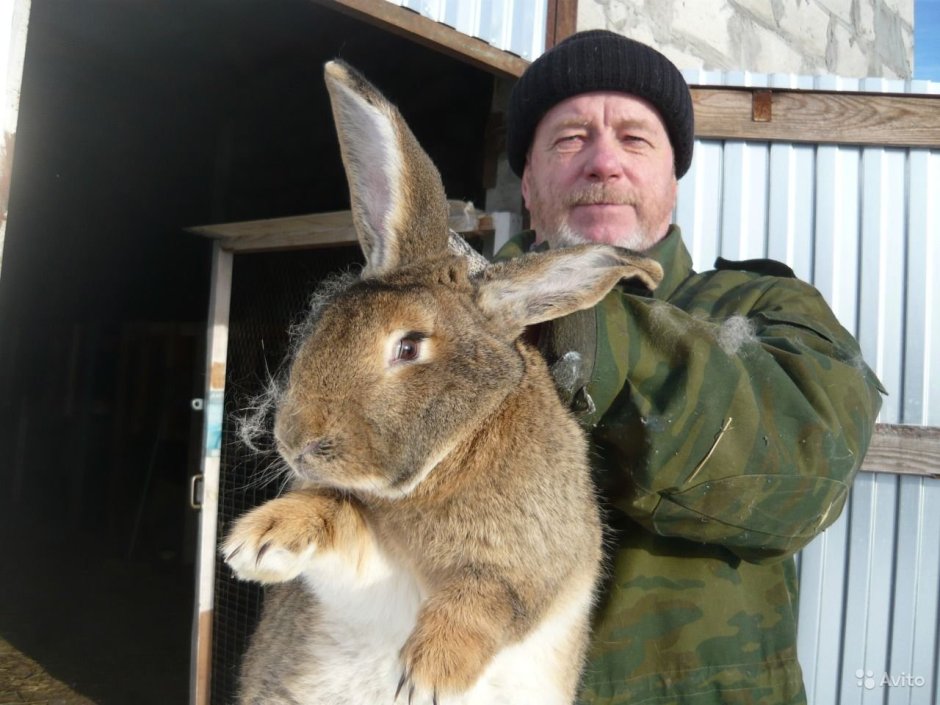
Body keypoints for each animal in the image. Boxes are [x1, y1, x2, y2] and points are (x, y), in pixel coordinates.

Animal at [221, 59, 664, 705]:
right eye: (325, 321)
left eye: (408, 347)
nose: (294, 441)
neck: (447, 460)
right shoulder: (374, 553)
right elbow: (337, 513)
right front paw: (260, 542)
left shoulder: (537, 559)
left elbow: (492, 597)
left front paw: (431, 673)